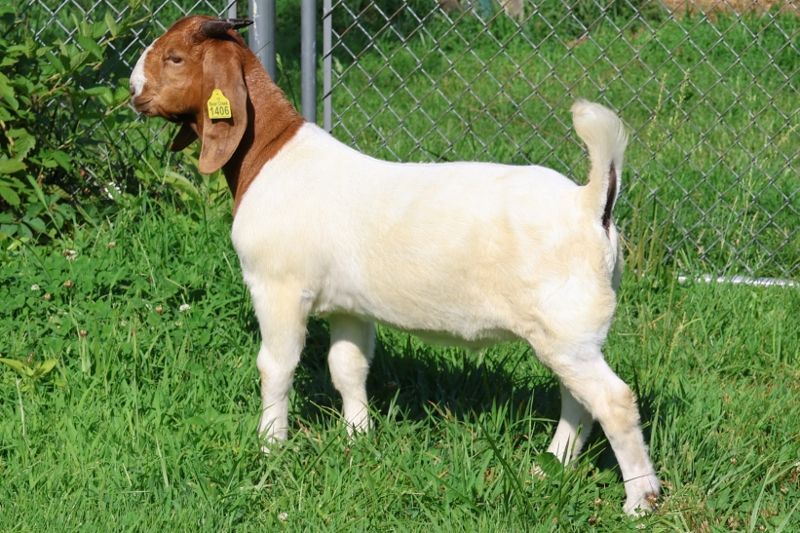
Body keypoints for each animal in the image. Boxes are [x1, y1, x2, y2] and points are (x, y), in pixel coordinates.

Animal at [130, 15, 660, 515]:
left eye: (175, 58)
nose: (134, 91)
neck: (270, 153)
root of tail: (590, 203)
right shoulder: (349, 306)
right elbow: (348, 367)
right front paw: (358, 437)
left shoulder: (277, 287)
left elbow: (276, 367)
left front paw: (270, 448)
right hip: (567, 334)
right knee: (579, 398)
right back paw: (551, 465)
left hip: (566, 328)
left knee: (613, 401)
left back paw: (639, 499)